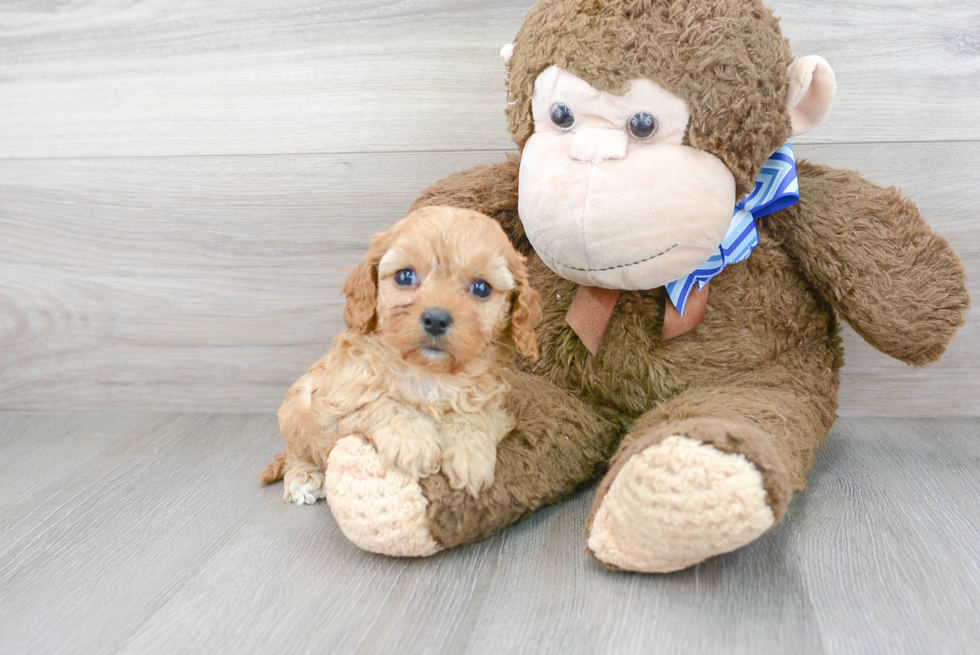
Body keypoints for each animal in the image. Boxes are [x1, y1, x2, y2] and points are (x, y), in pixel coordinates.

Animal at [258, 206, 544, 502]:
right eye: (404, 276)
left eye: (482, 288)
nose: (436, 319)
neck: (428, 373)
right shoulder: (336, 400)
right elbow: (380, 402)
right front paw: (413, 441)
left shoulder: (492, 403)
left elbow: (475, 415)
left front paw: (470, 453)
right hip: (294, 411)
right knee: (297, 453)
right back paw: (303, 477)